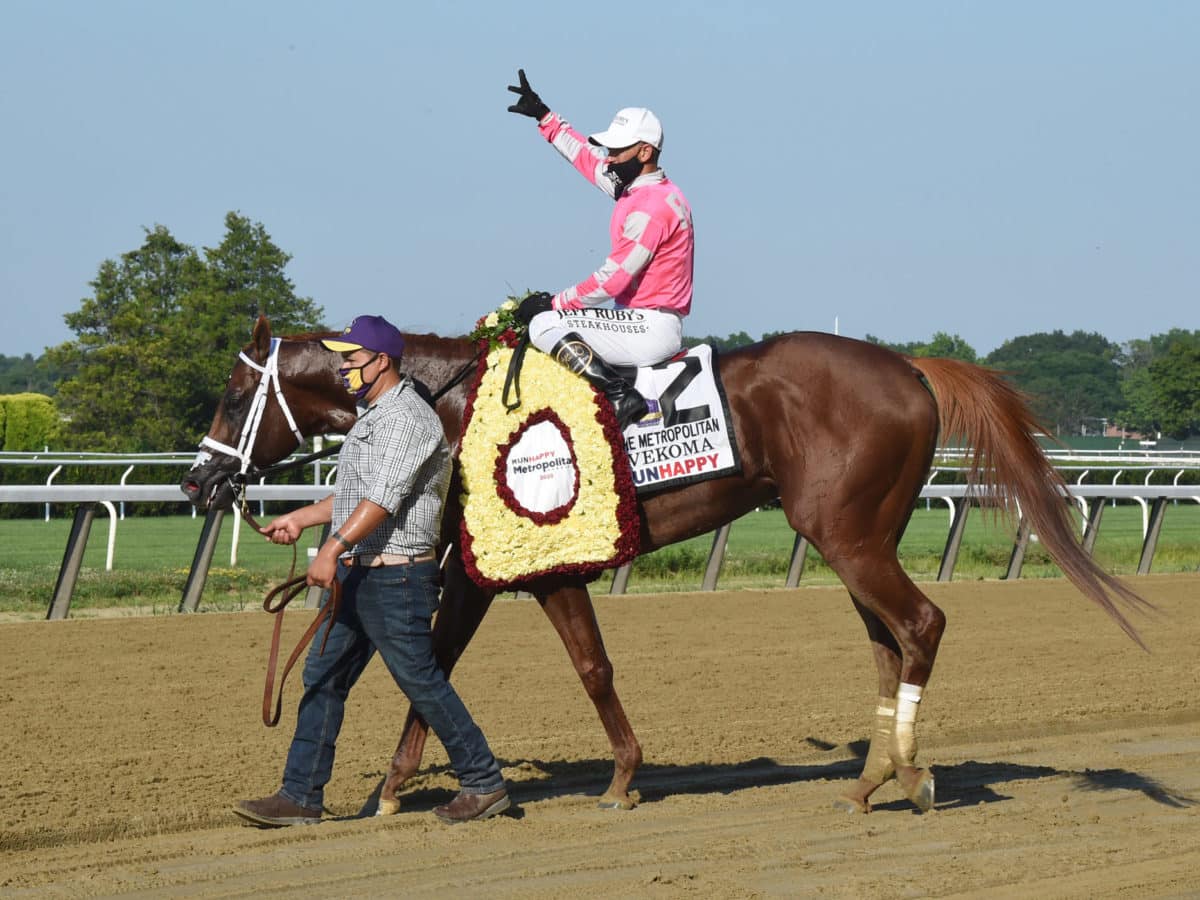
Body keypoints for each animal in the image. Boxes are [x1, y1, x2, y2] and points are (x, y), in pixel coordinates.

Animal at [182, 316, 1147, 816]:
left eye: (233, 394)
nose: (198, 480)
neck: (452, 406)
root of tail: (909, 366)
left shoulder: (528, 566)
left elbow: (565, 666)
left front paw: (616, 778)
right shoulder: (485, 570)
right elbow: (448, 662)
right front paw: (396, 785)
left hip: (848, 535)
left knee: (921, 623)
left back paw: (911, 773)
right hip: (858, 537)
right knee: (889, 638)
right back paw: (875, 775)